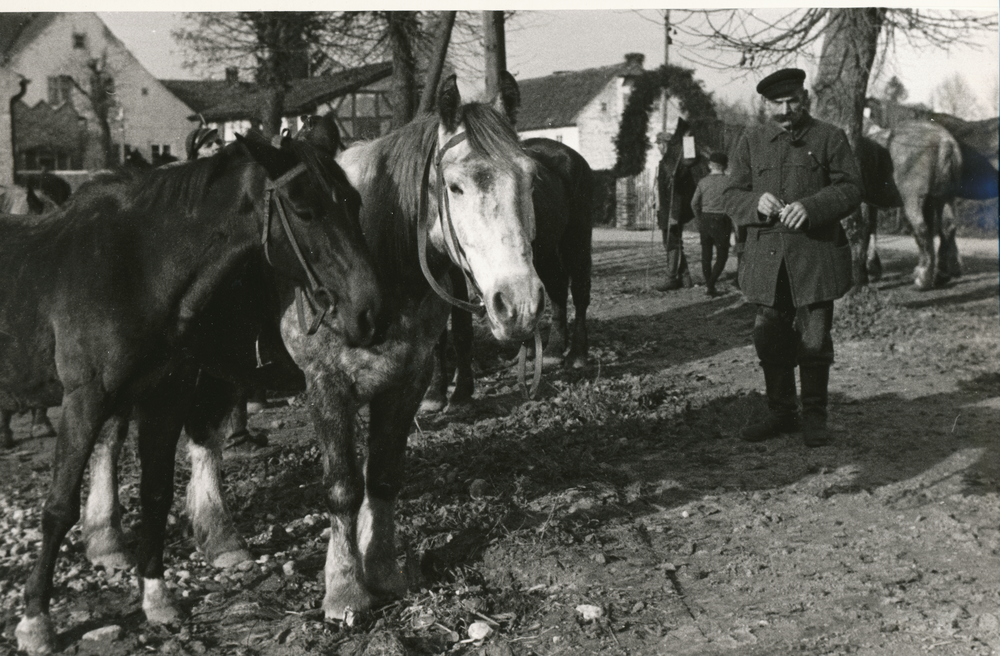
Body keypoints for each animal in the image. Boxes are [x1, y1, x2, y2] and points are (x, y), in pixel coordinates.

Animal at [6, 125, 382, 652]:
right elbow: (58, 508)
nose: (371, 311)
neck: (136, 267)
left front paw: (157, 599)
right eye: (305, 210)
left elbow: (156, 496)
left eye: (353, 201)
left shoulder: (163, 397)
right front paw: (36, 620)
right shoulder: (83, 400)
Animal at [422, 136, 592, 412]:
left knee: (579, 293)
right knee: (556, 290)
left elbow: (460, 329)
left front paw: (460, 393)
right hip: (544, 253)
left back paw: (577, 355)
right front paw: (435, 393)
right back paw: (553, 351)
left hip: (576, 240)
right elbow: (436, 337)